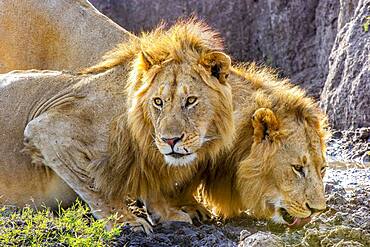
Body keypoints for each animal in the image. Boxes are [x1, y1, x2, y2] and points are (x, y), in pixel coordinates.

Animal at [0, 20, 233, 233]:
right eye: (158, 102)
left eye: (191, 101)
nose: (170, 140)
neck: (143, 130)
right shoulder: (47, 130)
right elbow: (96, 185)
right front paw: (126, 221)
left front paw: (167, 213)